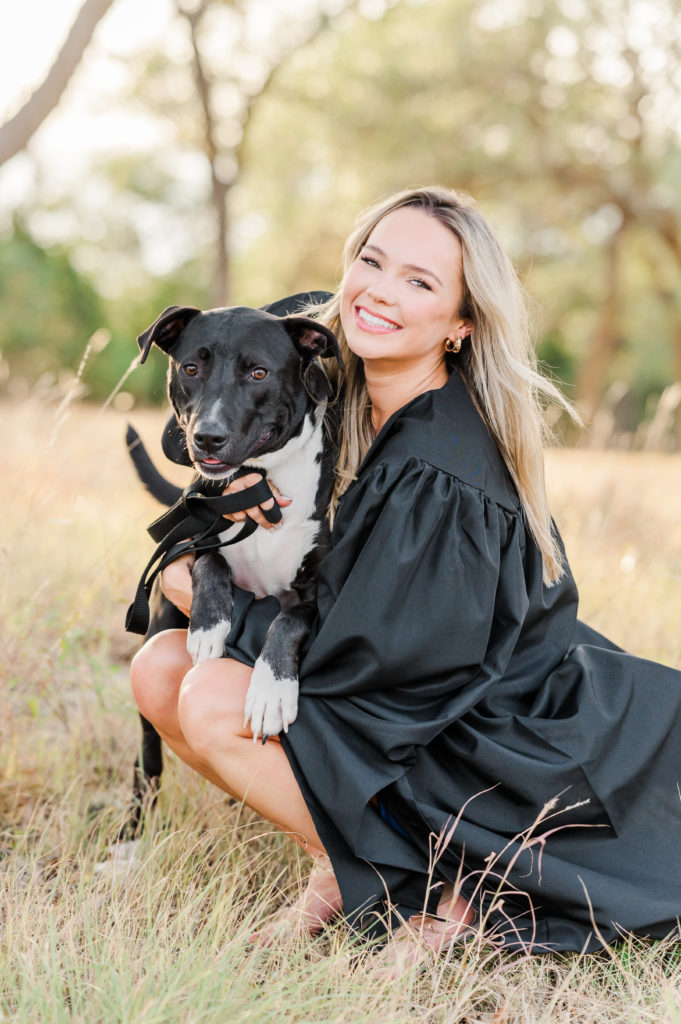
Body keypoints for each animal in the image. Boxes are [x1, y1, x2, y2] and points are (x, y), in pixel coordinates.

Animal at [134, 296, 339, 737]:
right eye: (191, 369)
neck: (259, 483)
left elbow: (288, 621)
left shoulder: (315, 596)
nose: (207, 437)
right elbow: (211, 563)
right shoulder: (196, 538)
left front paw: (271, 690)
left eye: (258, 373)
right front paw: (209, 627)